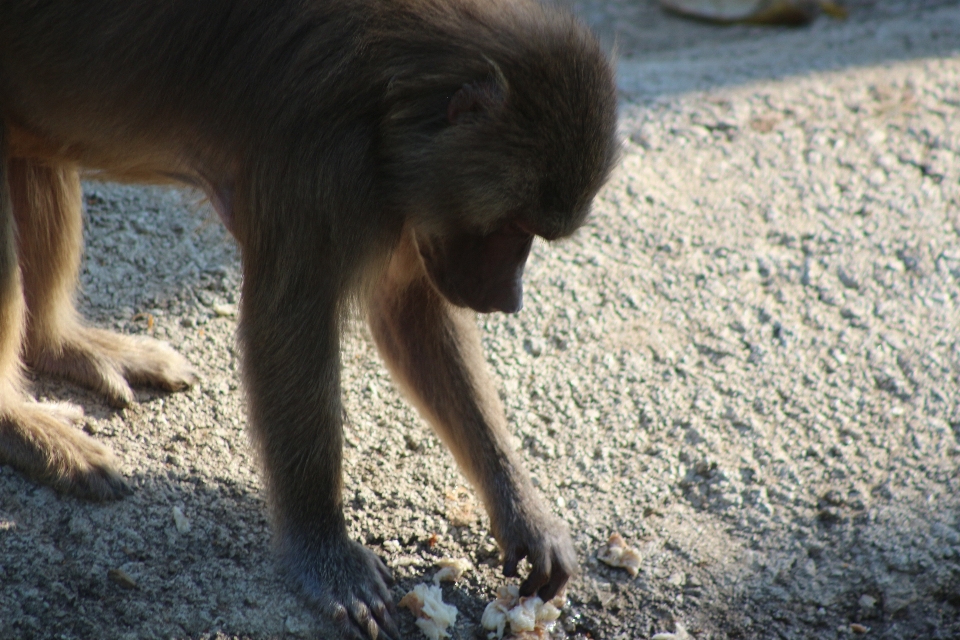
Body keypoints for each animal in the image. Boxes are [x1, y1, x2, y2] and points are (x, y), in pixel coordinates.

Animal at [0, 1, 620, 636]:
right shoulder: (321, 164)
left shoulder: (406, 195)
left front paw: (523, 513)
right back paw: (19, 424)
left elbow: (411, 312)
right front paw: (327, 556)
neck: (389, 86)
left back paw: (59, 344)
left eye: (532, 232)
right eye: (514, 227)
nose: (509, 299)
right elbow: (287, 326)